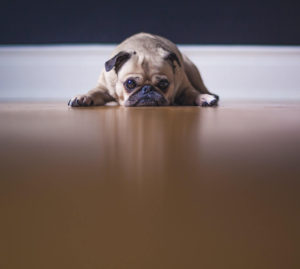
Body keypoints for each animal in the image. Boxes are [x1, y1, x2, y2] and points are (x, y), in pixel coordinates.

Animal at [67, 32, 218, 105]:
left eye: (163, 84)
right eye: (130, 83)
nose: (147, 89)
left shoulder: (184, 88)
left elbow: (193, 93)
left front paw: (203, 98)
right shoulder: (103, 88)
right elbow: (93, 92)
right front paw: (83, 97)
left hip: (191, 70)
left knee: (201, 87)